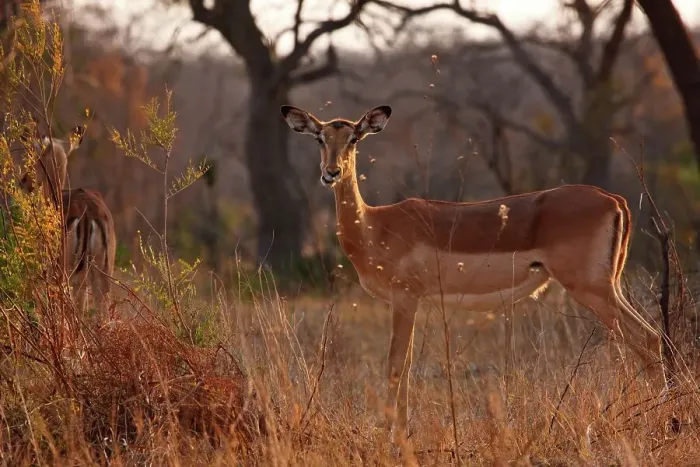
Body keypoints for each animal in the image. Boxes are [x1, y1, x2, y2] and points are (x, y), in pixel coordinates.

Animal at [281, 104, 666, 436]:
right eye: (319, 138)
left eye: (354, 138)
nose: (331, 173)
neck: (376, 227)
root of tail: (614, 200)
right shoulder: (409, 302)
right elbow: (405, 363)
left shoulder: (405, 299)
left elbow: (396, 364)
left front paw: (393, 433)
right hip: (608, 286)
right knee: (651, 337)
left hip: (591, 288)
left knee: (645, 338)